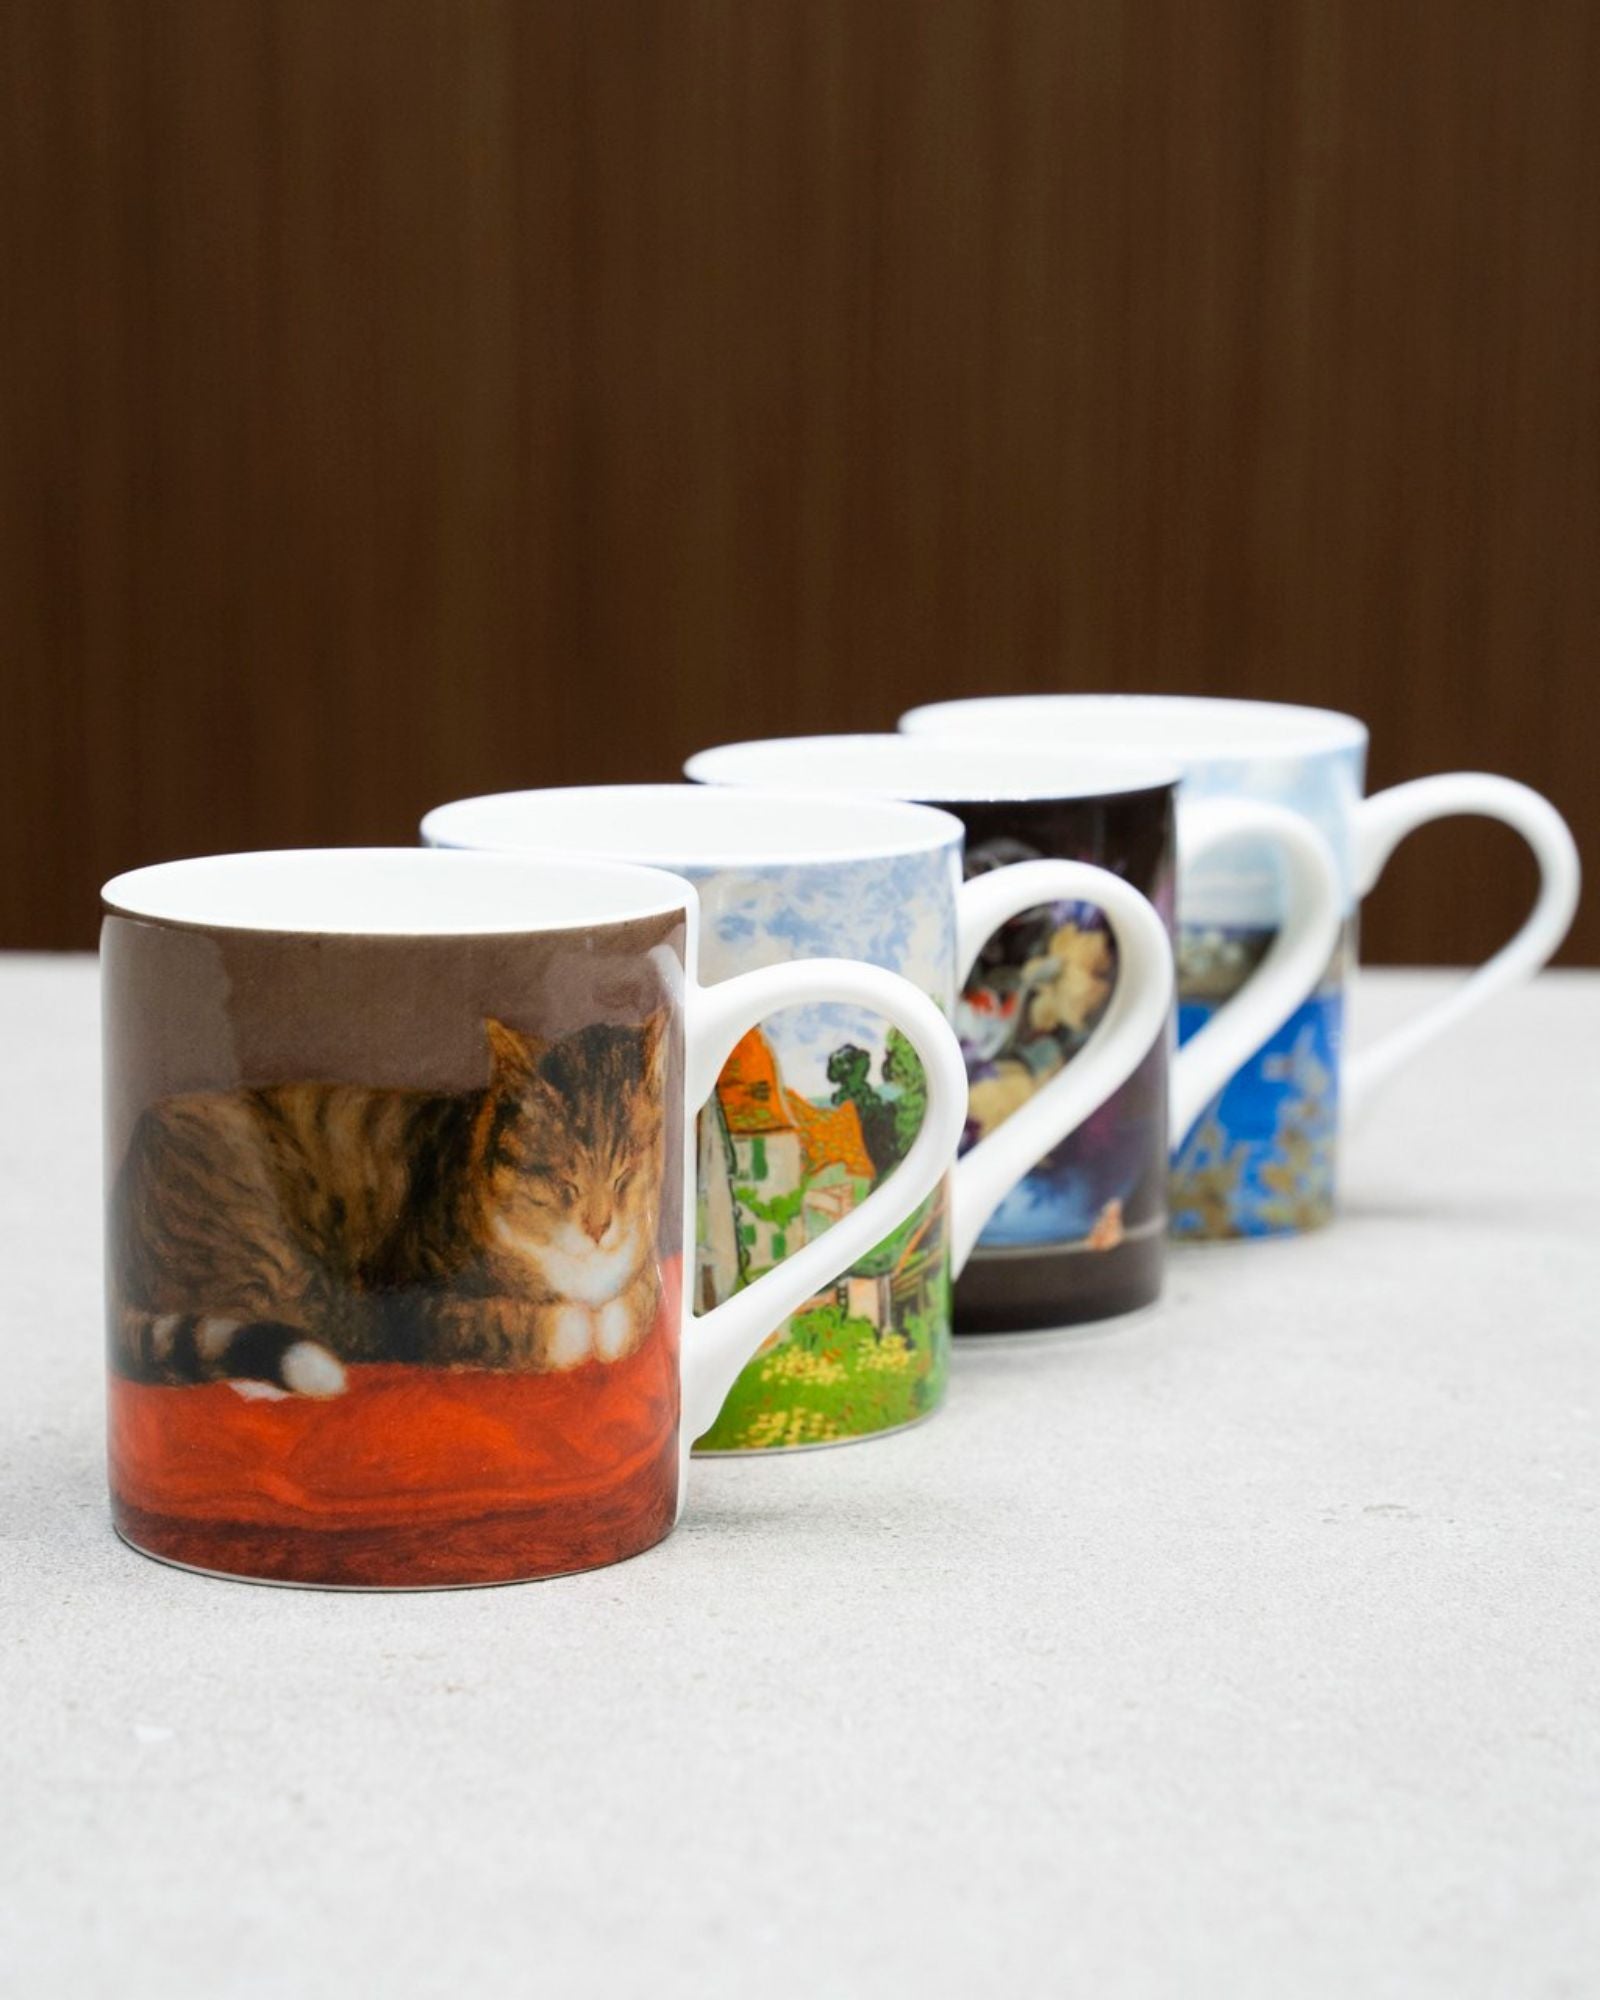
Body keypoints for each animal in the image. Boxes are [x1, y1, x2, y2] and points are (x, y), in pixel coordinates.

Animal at [111, 1013, 667, 1397]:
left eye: (625, 1174)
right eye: (564, 1179)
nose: (599, 1227)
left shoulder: (639, 1266)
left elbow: (640, 1299)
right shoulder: (410, 1304)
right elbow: (536, 1326)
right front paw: (582, 1327)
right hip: (266, 1248)